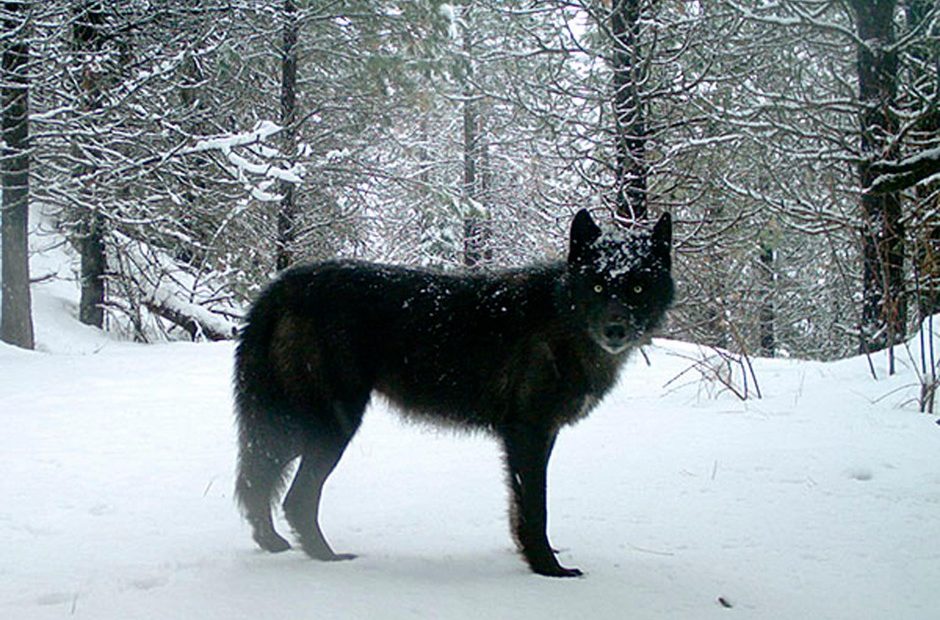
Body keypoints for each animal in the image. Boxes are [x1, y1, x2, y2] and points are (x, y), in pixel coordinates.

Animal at [235, 209, 676, 576]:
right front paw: (547, 569)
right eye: (598, 285)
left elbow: (519, 509)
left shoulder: (537, 436)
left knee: (258, 479)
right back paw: (326, 557)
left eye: (637, 287)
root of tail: (281, 286)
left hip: (297, 427)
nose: (615, 329)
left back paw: (273, 543)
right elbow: (536, 508)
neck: (562, 318)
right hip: (330, 426)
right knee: (293, 496)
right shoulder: (528, 434)